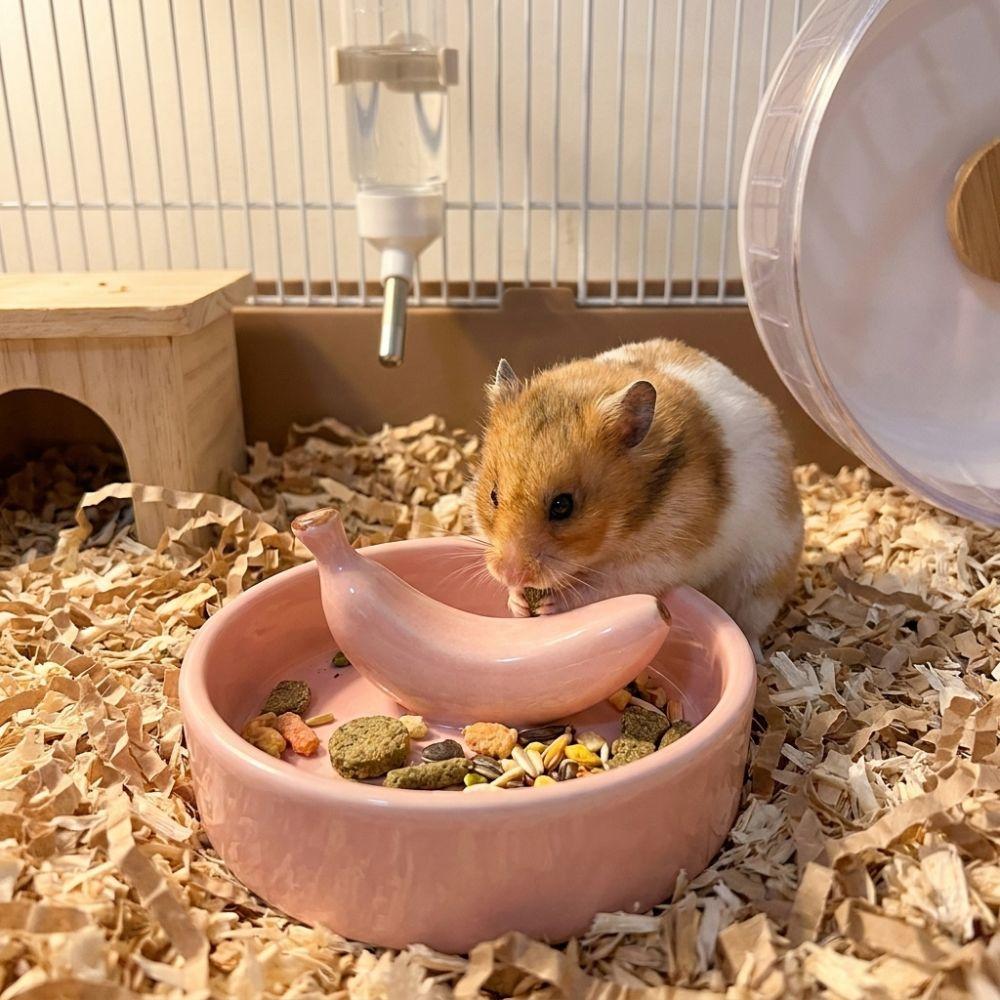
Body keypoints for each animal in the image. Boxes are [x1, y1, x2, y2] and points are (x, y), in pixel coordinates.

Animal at [471, 338, 804, 650]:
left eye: (563, 506)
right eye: (493, 495)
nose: (509, 574)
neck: (629, 521)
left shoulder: (666, 554)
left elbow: (608, 582)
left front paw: (552, 602)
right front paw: (517, 600)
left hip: (762, 574)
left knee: (751, 622)